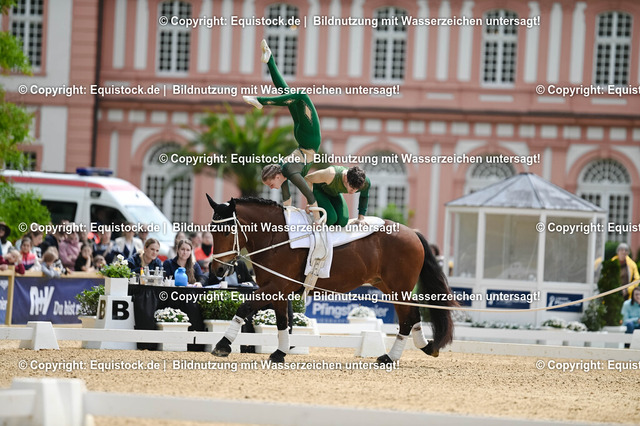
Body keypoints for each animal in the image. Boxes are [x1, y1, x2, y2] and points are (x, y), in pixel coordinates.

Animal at [206, 195, 456, 364]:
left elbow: (244, 306)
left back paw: (390, 357)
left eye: (227, 231)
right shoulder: (278, 290)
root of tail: (412, 232)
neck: (277, 237)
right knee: (412, 317)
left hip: (399, 287)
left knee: (408, 319)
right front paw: (279, 353)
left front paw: (222, 345)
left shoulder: (275, 286)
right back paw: (424, 348)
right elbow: (282, 322)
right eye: (211, 229)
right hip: (387, 286)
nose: (217, 269)